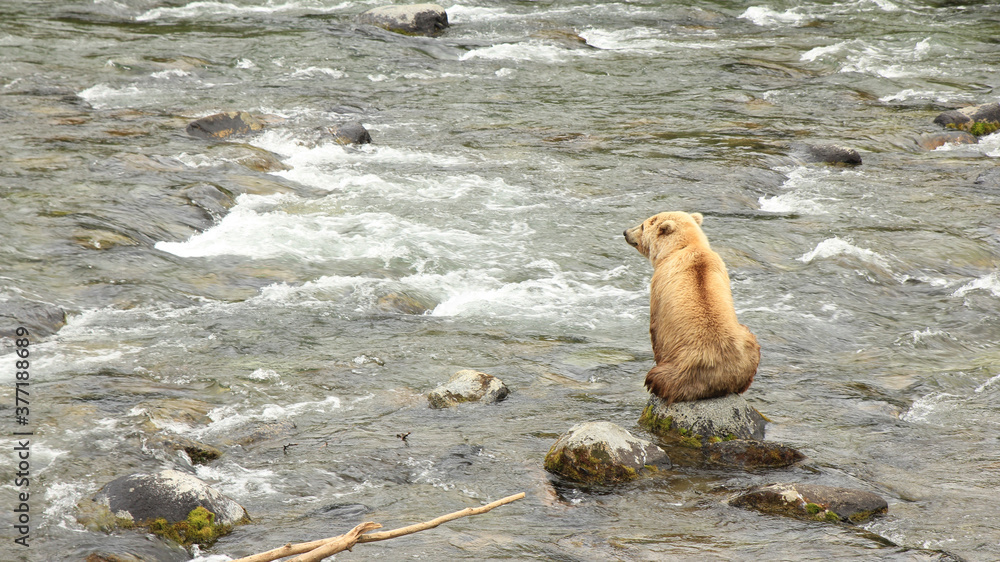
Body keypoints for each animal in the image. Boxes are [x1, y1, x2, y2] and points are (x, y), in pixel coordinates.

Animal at [623, 211, 760, 404]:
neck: (681, 247)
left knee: (659, 377)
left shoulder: (659, 284)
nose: (626, 232)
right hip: (747, 347)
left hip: (679, 371)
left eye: (642, 225)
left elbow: (656, 327)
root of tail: (720, 380)